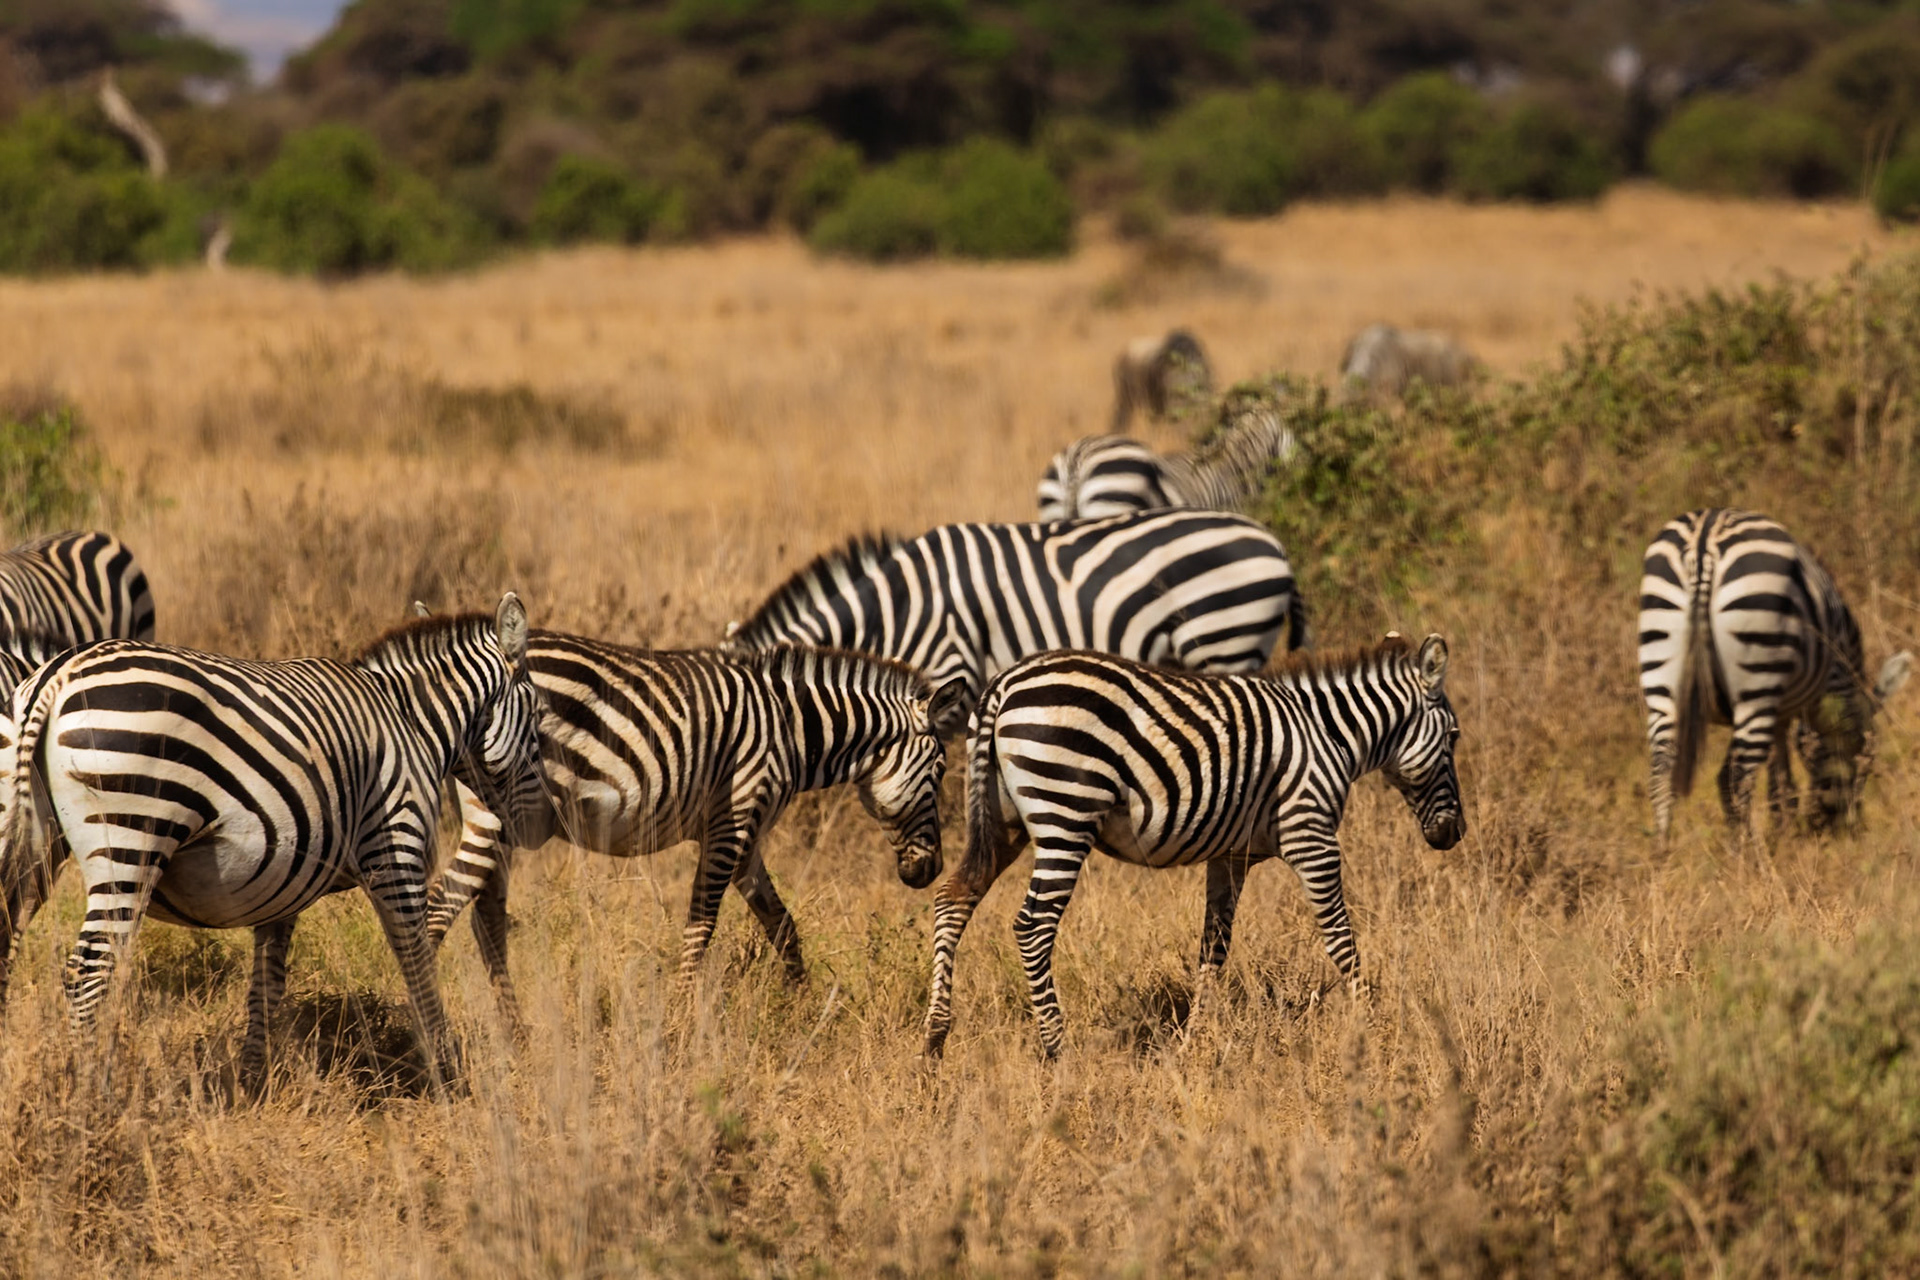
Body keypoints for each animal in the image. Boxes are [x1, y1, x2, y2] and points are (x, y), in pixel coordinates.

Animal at [0, 595, 546, 1091]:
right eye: (540, 720)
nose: (536, 828)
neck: (411, 723)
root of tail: (57, 673)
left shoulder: (284, 877)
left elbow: (267, 983)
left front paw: (251, 1083)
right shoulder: (397, 849)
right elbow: (418, 965)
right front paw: (445, 1073)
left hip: (31, 839)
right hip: (131, 836)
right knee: (89, 973)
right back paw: (92, 1096)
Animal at [422, 633, 966, 1023]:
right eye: (940, 771)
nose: (931, 869)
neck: (792, 730)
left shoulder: (744, 833)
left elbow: (782, 925)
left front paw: (804, 1010)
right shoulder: (734, 819)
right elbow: (701, 925)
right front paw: (680, 1022)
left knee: (483, 917)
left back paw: (514, 1031)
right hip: (498, 810)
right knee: (440, 905)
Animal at [922, 636, 1463, 1060]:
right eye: (1455, 737)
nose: (1453, 834)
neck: (1330, 735)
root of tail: (1003, 684)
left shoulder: (1230, 857)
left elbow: (1213, 947)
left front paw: (1193, 1042)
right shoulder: (1311, 835)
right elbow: (1340, 938)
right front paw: (1374, 1028)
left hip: (1002, 821)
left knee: (953, 899)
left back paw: (934, 1040)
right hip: (1066, 811)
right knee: (1033, 926)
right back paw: (1058, 1049)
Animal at [1638, 508, 1912, 843]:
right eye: (1867, 756)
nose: (1839, 828)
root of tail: (1704, 541)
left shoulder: (1778, 713)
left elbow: (1780, 781)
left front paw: (1782, 832)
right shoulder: (1806, 693)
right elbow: (1780, 779)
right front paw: (1782, 835)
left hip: (1663, 674)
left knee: (1661, 773)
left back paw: (1663, 854)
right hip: (1757, 674)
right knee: (1736, 777)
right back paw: (1746, 853)